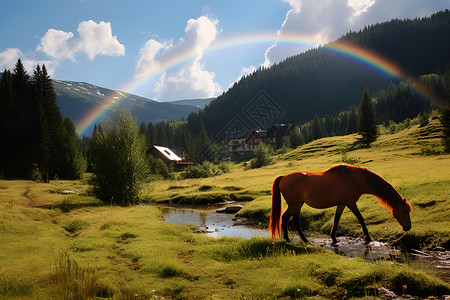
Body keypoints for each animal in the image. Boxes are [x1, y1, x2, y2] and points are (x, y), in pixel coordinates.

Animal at [268, 164, 414, 244]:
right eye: (405, 211)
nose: (408, 227)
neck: (355, 179)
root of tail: (284, 177)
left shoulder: (342, 204)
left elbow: (336, 219)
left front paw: (333, 237)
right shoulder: (350, 202)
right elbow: (360, 218)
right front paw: (367, 237)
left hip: (298, 204)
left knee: (295, 220)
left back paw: (304, 240)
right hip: (295, 204)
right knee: (286, 218)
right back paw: (289, 239)